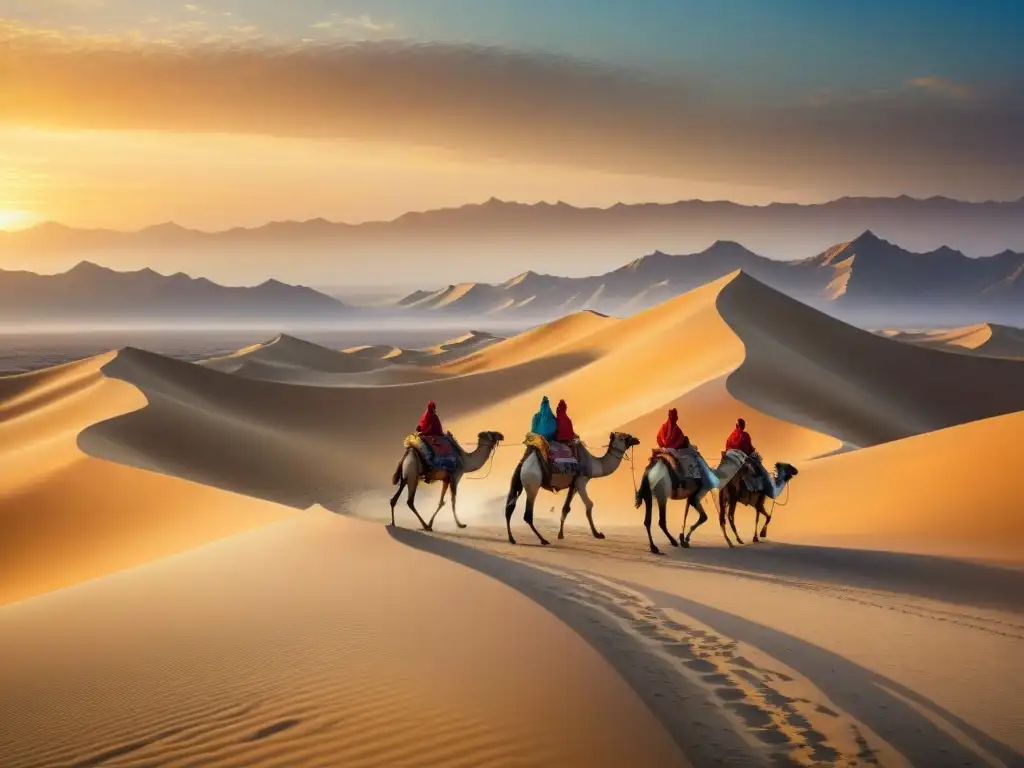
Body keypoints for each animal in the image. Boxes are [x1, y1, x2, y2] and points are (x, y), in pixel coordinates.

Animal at [503, 434, 638, 548]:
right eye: (624, 437)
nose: (637, 439)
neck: (595, 464)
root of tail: (523, 464)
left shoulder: (574, 486)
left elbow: (566, 508)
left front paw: (561, 534)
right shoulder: (581, 481)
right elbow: (589, 505)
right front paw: (597, 534)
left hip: (520, 483)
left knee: (509, 508)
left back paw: (512, 538)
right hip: (532, 484)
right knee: (527, 515)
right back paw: (543, 540)